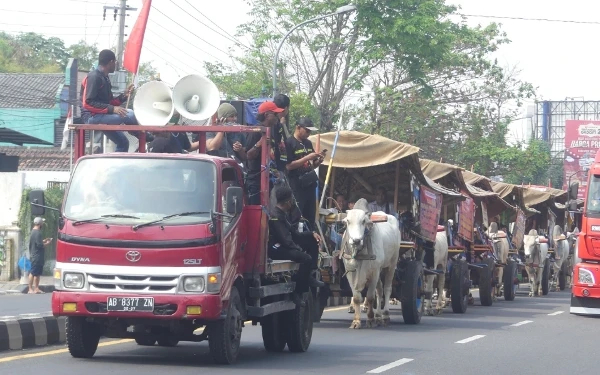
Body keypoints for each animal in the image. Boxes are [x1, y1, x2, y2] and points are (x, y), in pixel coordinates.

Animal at [340, 200, 400, 328]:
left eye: (363, 221)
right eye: (348, 221)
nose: (356, 240)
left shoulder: (374, 272)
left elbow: (370, 297)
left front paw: (370, 319)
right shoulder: (350, 273)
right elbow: (357, 297)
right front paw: (356, 321)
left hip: (392, 264)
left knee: (387, 289)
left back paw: (385, 315)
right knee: (380, 290)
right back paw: (378, 316)